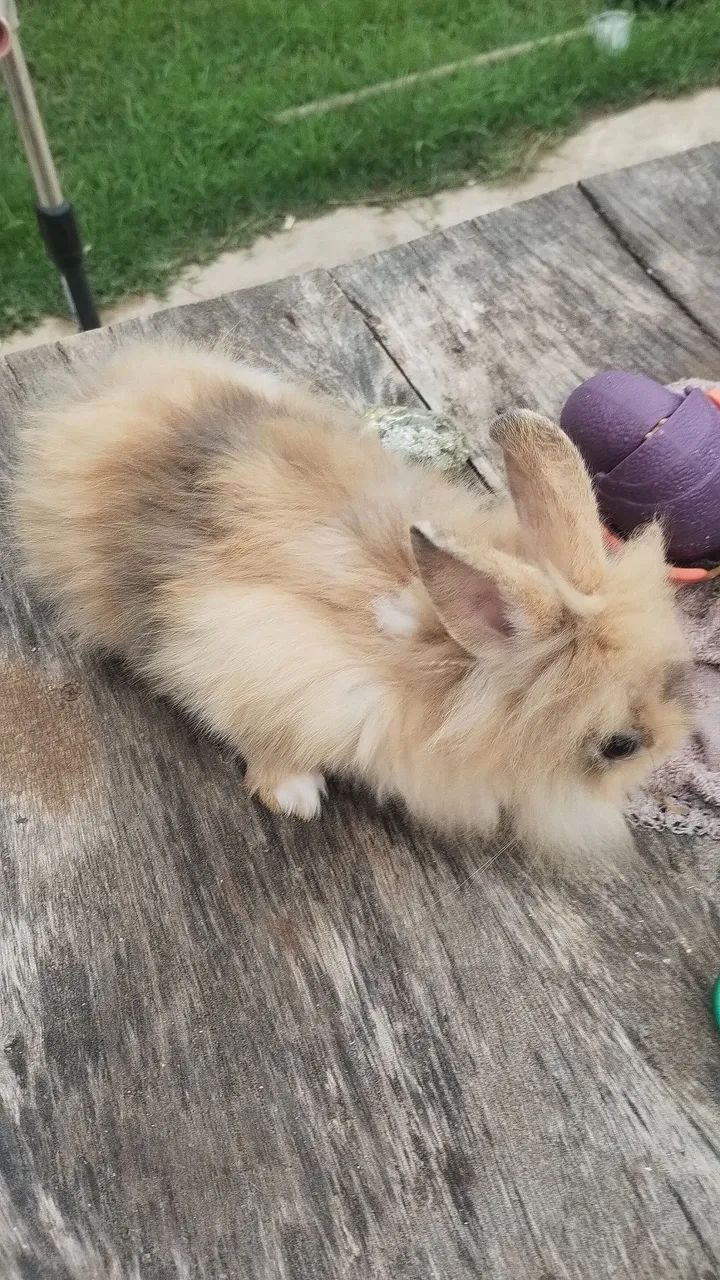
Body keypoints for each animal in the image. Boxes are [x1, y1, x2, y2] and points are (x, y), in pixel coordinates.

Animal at [14, 341, 693, 863]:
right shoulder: (251, 663)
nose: (669, 750)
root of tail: (90, 396)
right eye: (620, 746)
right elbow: (266, 740)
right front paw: (296, 798)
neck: (437, 662)